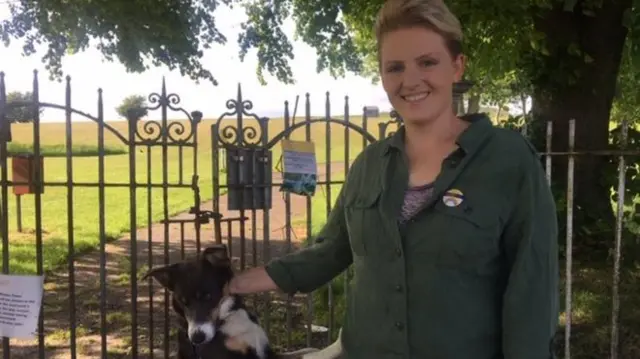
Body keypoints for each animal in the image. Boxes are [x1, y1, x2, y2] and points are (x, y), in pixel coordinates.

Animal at [140, 245, 340, 359]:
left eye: (208, 296)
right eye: (183, 302)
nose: (197, 339)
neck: (228, 318)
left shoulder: (266, 351)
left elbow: (305, 351)